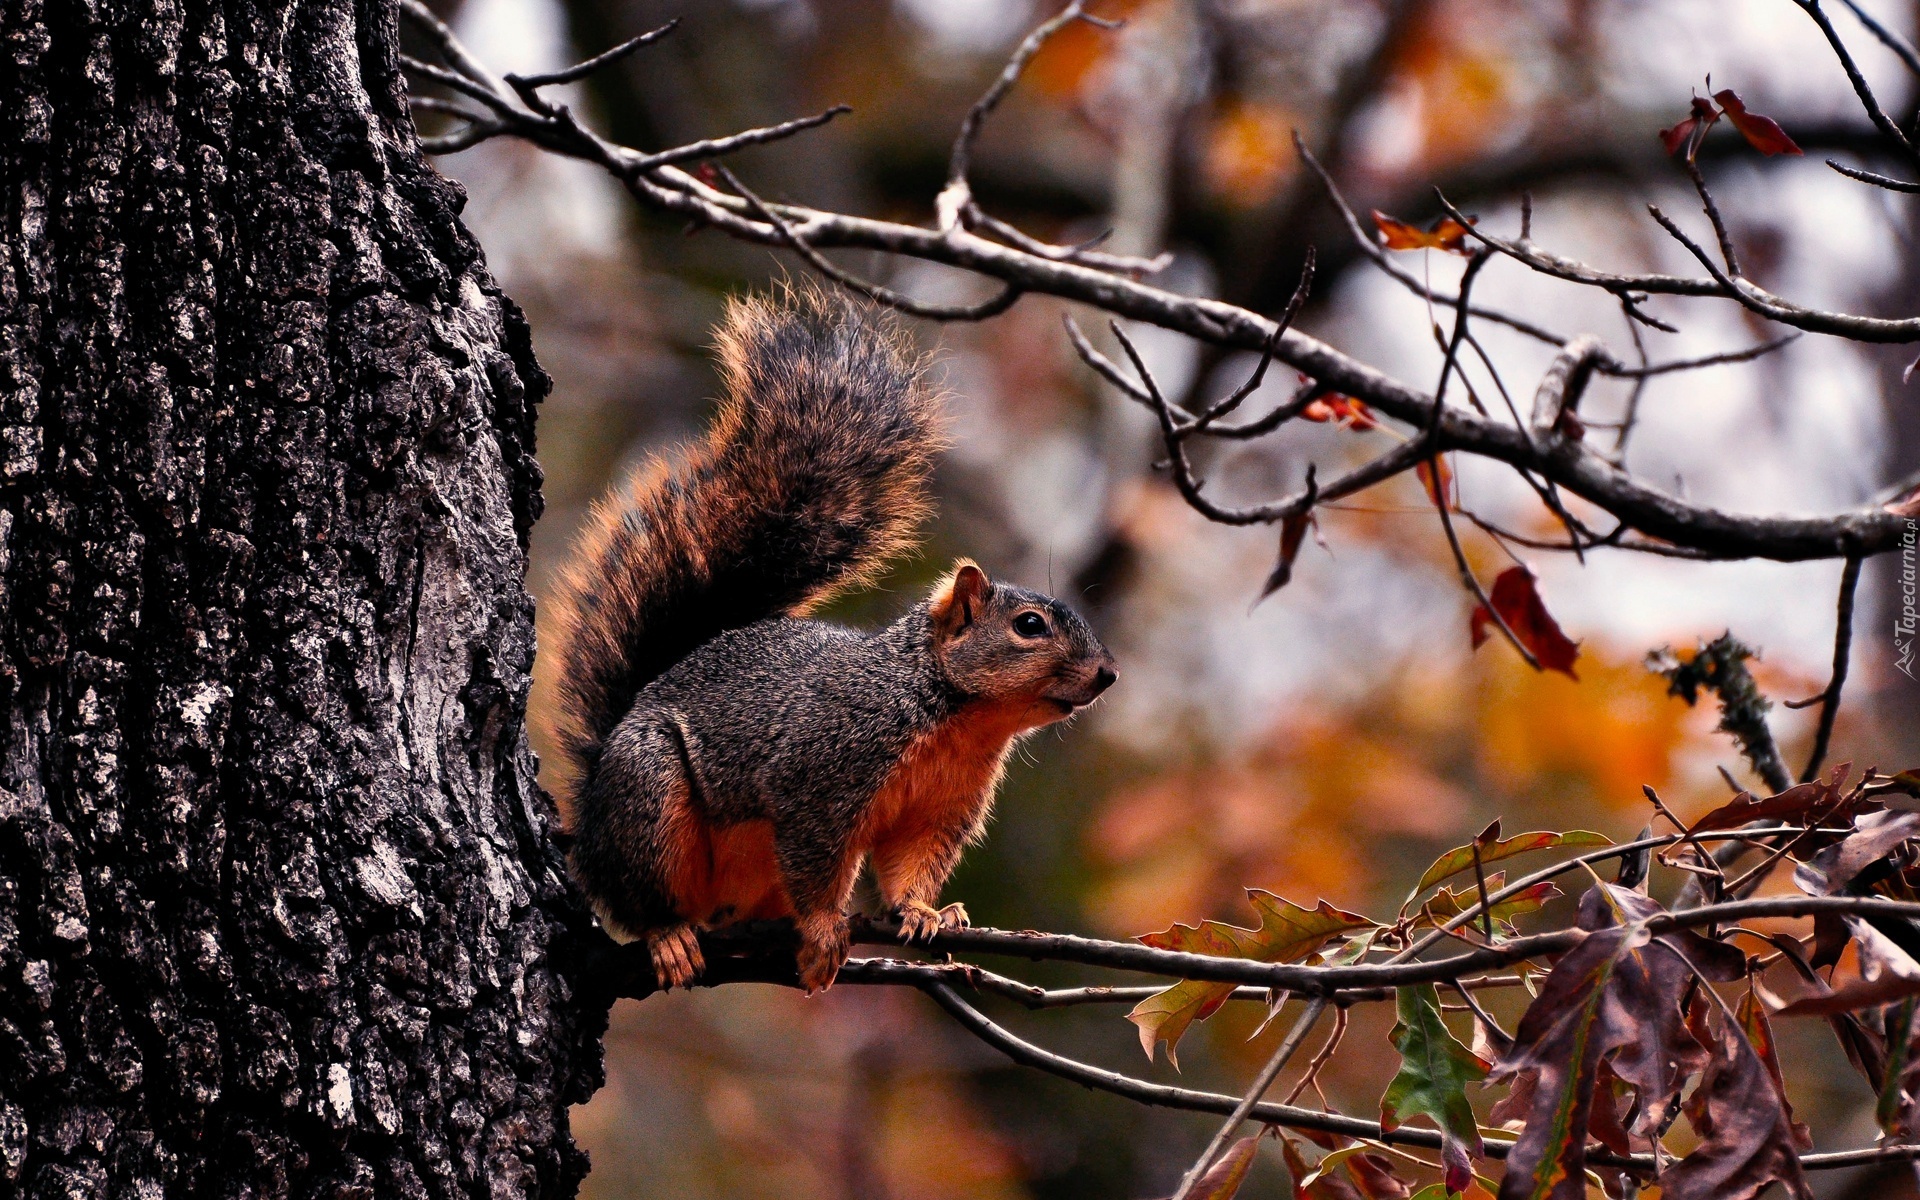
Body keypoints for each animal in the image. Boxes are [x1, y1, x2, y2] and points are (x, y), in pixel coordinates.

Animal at [549, 288, 1121, 990]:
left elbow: (911, 864)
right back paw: (670, 936)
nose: (1107, 674)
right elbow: (816, 858)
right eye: (1030, 626)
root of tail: (591, 808)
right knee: (639, 895)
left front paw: (926, 912)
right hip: (648, 796)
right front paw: (825, 928)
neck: (957, 717)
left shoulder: (939, 809)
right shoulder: (821, 776)